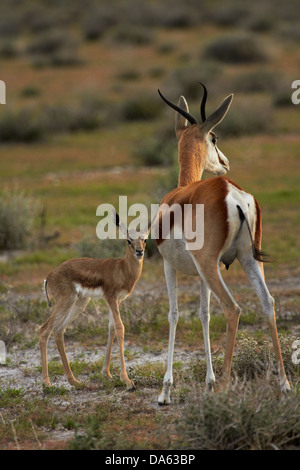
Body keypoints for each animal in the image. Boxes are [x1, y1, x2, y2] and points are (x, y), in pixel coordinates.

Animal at [39, 213, 148, 390]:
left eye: (145, 240)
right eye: (128, 240)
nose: (140, 252)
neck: (122, 268)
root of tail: (49, 276)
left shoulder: (116, 301)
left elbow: (111, 328)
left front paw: (107, 373)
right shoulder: (111, 298)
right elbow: (120, 328)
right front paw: (127, 380)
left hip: (80, 303)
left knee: (58, 330)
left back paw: (74, 381)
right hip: (66, 303)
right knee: (44, 330)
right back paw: (47, 383)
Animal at [156, 85, 290, 404]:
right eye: (214, 138)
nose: (225, 162)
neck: (180, 193)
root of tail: (232, 193)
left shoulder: (171, 265)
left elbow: (174, 315)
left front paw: (165, 391)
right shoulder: (203, 273)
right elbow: (203, 315)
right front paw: (208, 382)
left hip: (213, 266)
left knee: (233, 308)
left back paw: (227, 388)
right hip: (247, 259)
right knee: (268, 302)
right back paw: (284, 386)